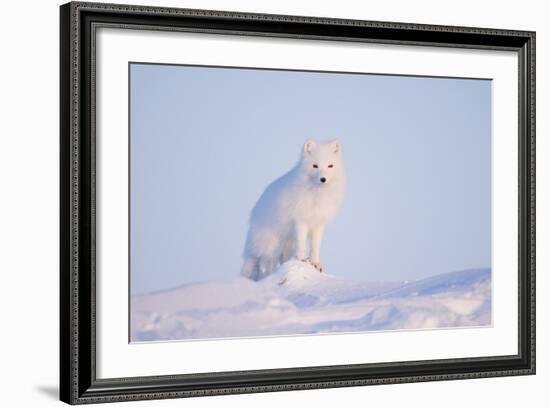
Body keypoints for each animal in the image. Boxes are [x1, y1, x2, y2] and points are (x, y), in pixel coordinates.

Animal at [242, 139, 344, 282]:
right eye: (315, 166)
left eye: (330, 166)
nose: (323, 179)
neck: (316, 197)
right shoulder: (300, 220)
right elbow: (302, 243)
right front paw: (302, 259)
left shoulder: (318, 224)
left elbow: (315, 246)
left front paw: (315, 262)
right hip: (271, 246)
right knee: (264, 265)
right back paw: (265, 277)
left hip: (286, 246)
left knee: (281, 259)